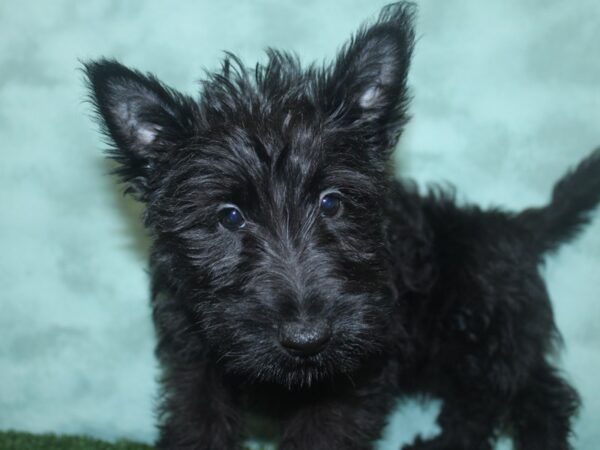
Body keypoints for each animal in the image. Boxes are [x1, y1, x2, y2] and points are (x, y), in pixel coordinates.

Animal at [85, 3, 600, 450]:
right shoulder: (194, 363)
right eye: (229, 216)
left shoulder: (355, 373)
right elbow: (197, 424)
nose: (307, 339)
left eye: (332, 203)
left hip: (482, 334)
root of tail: (515, 227)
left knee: (527, 397)